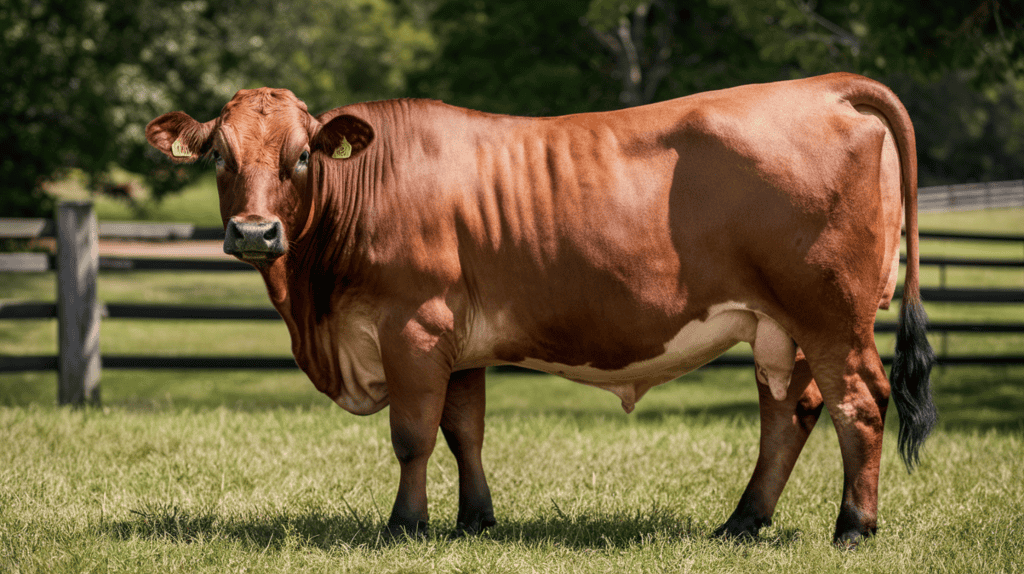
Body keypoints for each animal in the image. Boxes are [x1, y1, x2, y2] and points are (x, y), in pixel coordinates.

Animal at [146, 73, 937, 546]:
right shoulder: (456, 342)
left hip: (831, 315)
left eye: (304, 156)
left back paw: (853, 527)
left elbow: (413, 435)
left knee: (859, 402)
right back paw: (742, 522)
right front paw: (475, 521)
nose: (254, 233)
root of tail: (824, 88)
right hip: (780, 327)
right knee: (790, 412)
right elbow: (464, 431)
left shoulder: (413, 326)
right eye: (218, 154)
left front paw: (407, 525)